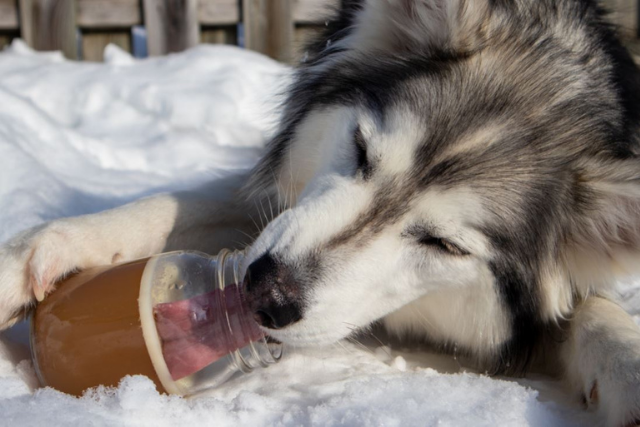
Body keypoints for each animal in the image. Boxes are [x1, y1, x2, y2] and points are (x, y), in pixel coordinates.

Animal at [1, 0, 640, 426]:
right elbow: (176, 204)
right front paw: (36, 255)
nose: (266, 292)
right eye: (360, 150)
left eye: (444, 245)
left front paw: (626, 366)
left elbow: (596, 310)